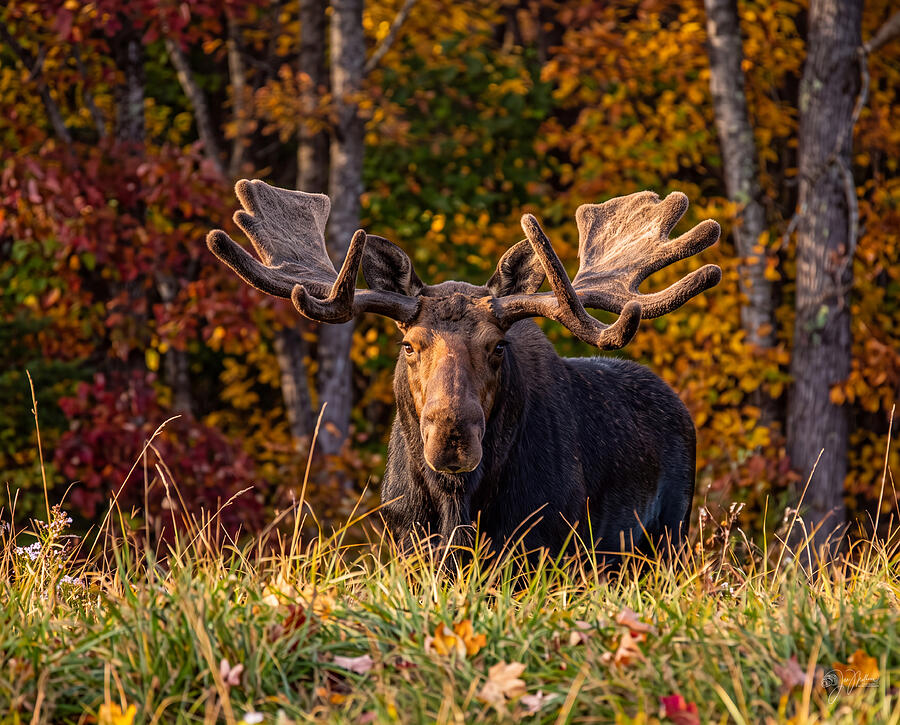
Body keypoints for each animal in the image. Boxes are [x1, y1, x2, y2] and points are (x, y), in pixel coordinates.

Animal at [208, 179, 721, 561]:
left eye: (497, 347)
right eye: (408, 345)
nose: (452, 434)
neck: (456, 503)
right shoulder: (407, 541)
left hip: (669, 535)